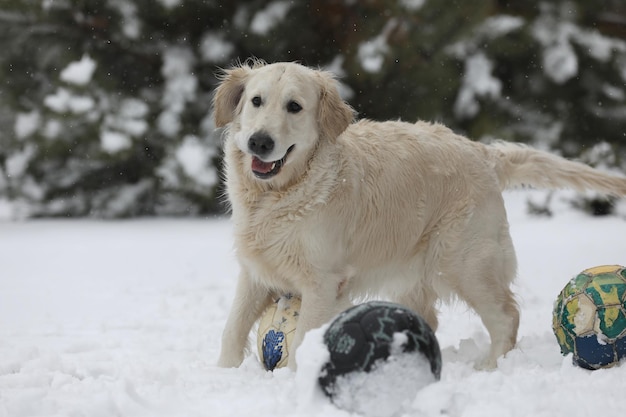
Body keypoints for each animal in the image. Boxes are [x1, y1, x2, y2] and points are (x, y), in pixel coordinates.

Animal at [213, 60, 624, 368]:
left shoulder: (322, 282)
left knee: (506, 315)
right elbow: (231, 330)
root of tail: (483, 152)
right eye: (256, 101)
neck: (275, 197)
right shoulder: (255, 272)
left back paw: (491, 366)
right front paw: (227, 372)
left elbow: (300, 342)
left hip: (462, 262)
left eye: (294, 107)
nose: (259, 142)